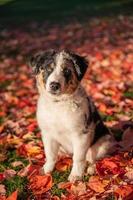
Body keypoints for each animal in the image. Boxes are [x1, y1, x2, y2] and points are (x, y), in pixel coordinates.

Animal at [29, 49, 114, 181]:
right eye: (48, 69)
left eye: (67, 71)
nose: (54, 85)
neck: (58, 104)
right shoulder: (47, 133)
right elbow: (50, 154)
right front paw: (47, 170)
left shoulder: (81, 134)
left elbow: (78, 158)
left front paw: (75, 176)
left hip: (104, 142)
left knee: (91, 159)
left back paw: (91, 169)